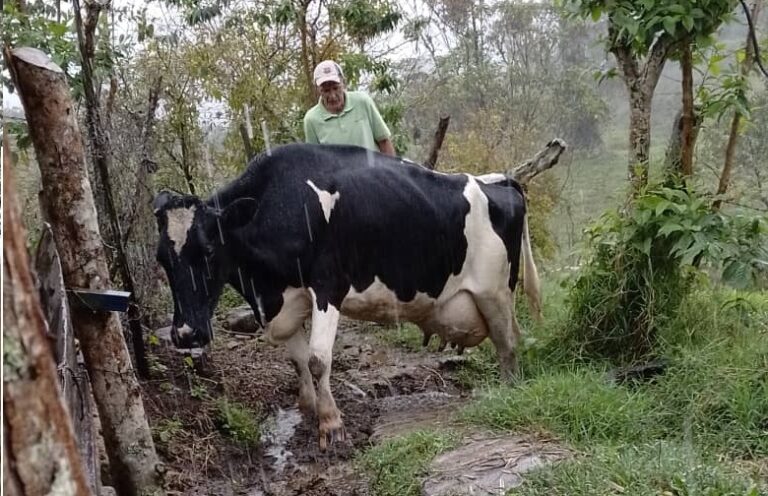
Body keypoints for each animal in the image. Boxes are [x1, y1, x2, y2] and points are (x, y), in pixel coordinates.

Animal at [153, 143, 541, 450]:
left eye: (208, 250)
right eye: (160, 258)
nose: (185, 333)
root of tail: (499, 181)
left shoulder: (328, 286)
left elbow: (317, 359)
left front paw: (331, 425)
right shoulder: (286, 302)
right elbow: (297, 360)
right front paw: (308, 409)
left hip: (495, 292)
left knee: (508, 344)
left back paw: (507, 391)